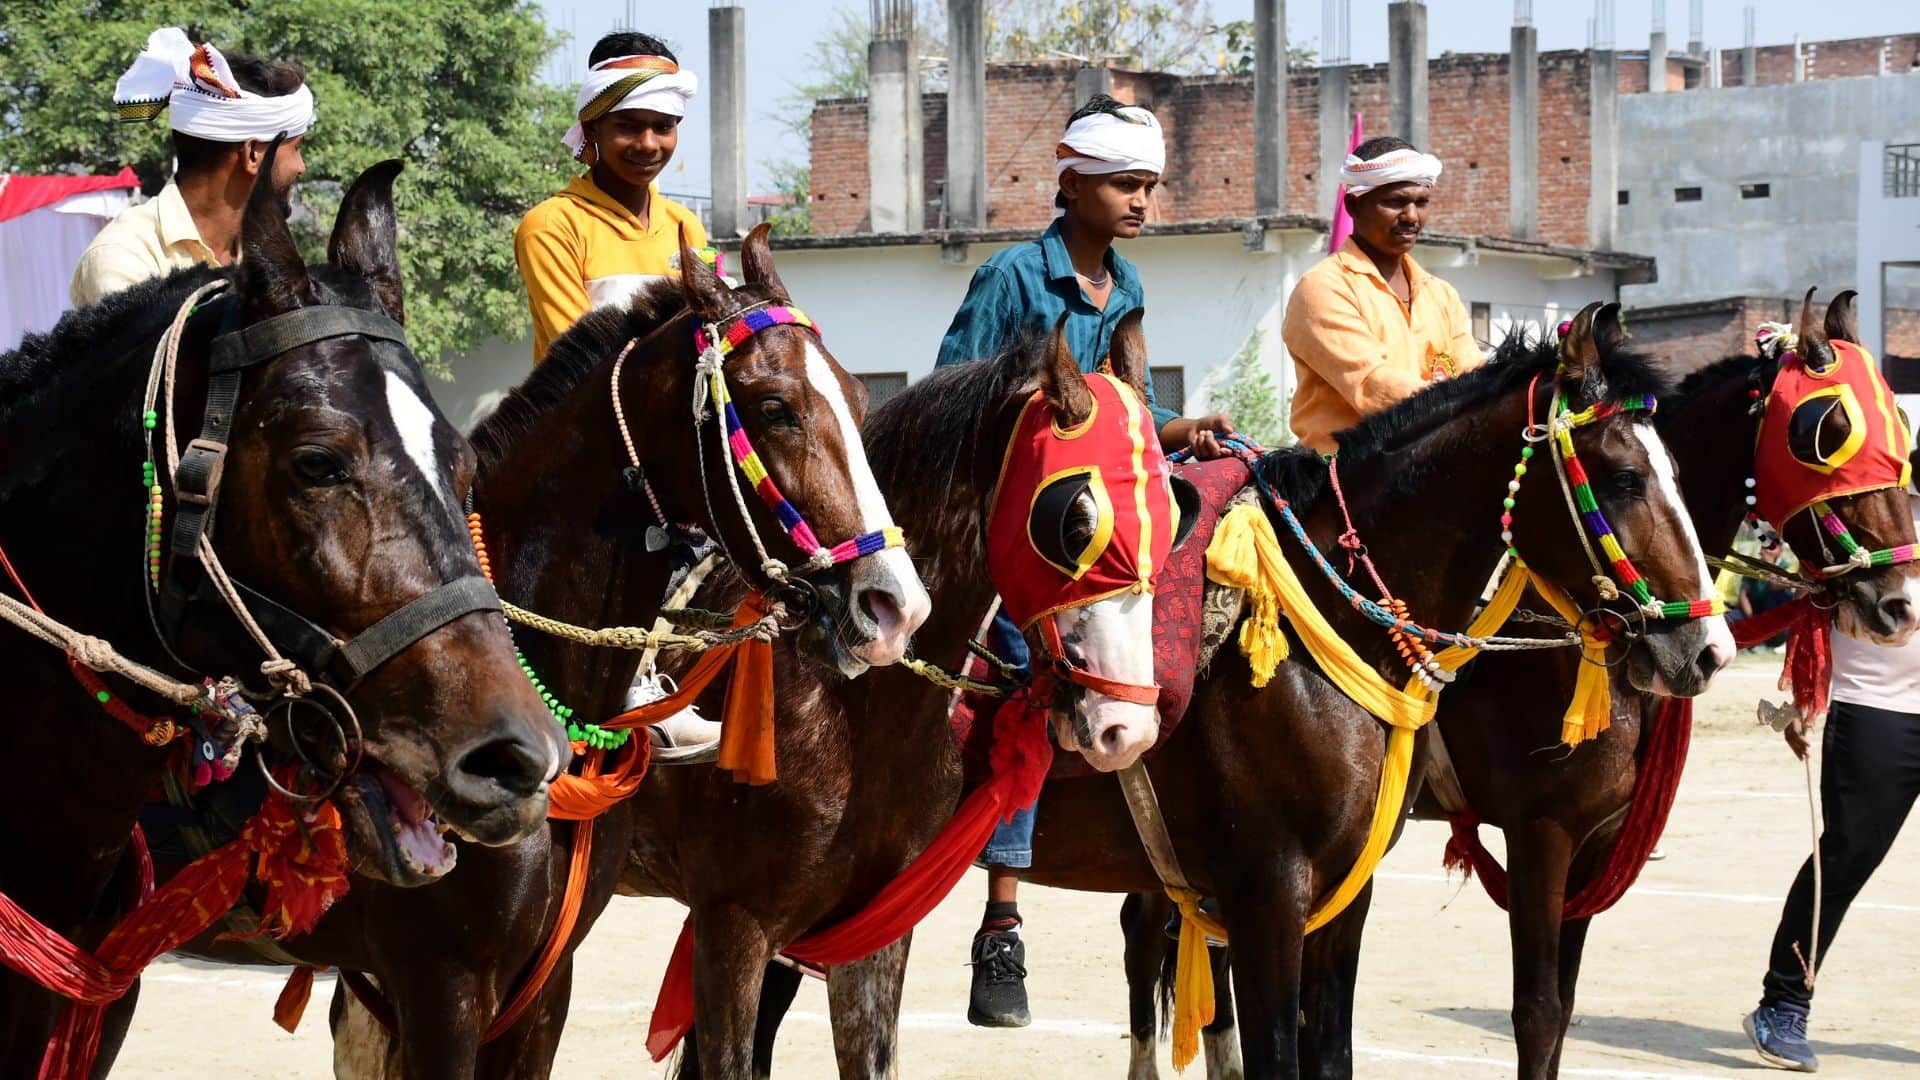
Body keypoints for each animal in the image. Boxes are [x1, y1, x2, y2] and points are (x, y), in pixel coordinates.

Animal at [1120, 290, 1920, 1080]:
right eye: (1826, 430)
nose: (1899, 603)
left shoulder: (1595, 842)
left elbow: (1559, 1015)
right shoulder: (1542, 831)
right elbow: (1536, 1014)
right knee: (1145, 929)